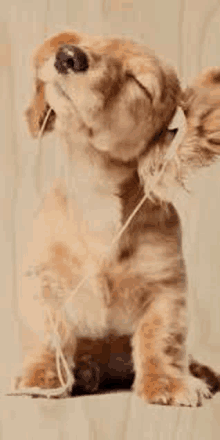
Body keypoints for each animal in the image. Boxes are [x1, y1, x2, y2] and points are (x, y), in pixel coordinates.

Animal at [16, 31, 220, 408]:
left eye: (138, 82)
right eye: (90, 43)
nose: (68, 55)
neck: (96, 191)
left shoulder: (165, 287)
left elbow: (161, 338)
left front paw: (167, 381)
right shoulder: (44, 280)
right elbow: (50, 334)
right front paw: (43, 376)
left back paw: (200, 373)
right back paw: (84, 372)